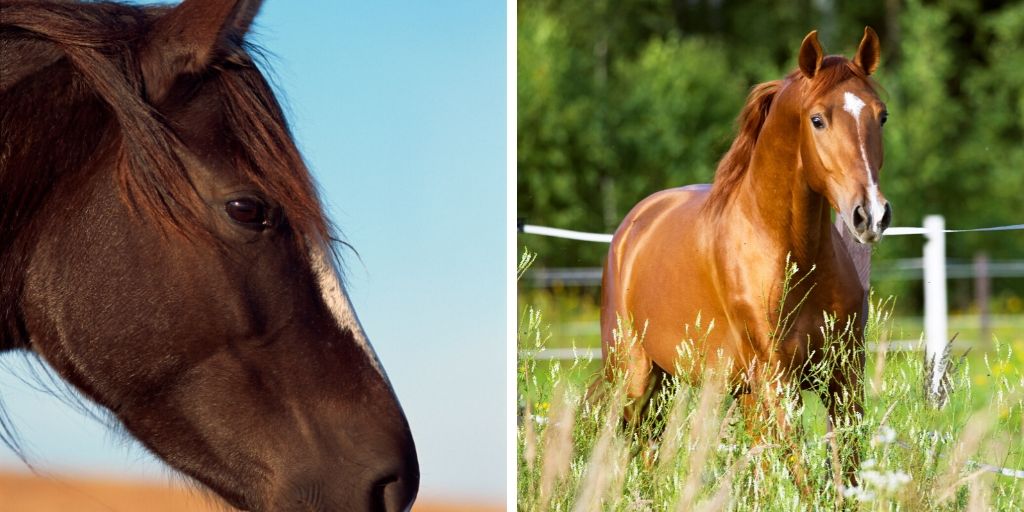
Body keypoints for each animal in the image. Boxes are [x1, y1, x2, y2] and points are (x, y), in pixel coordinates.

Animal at [598, 28, 888, 487]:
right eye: (818, 119)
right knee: (635, 446)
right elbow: (803, 478)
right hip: (635, 377)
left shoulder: (843, 378)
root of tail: (632, 226)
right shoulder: (776, 381)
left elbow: (845, 472)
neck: (792, 256)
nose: (871, 215)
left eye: (881, 116)